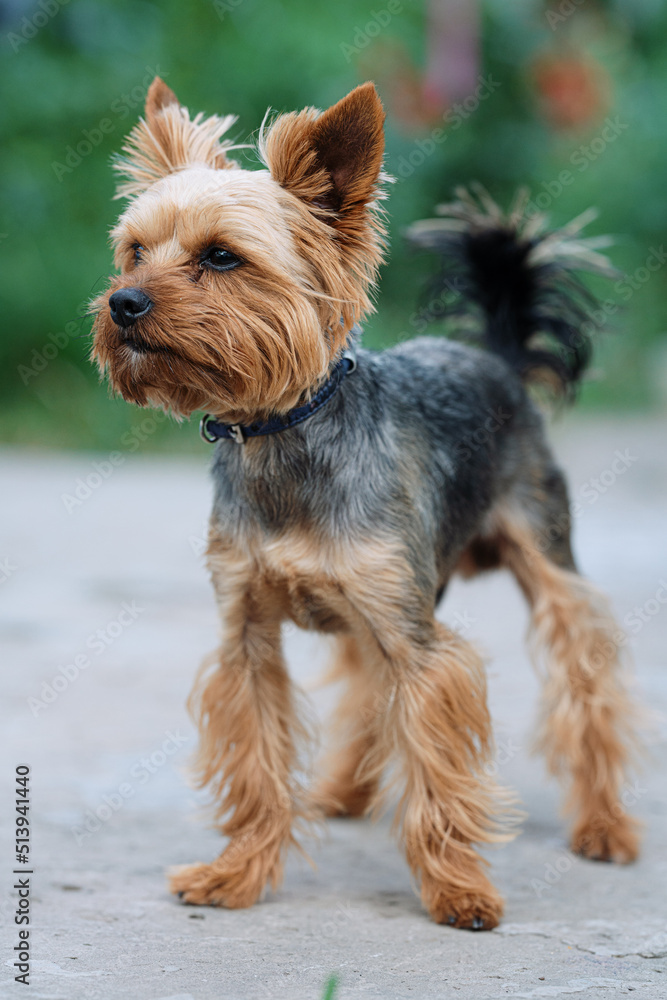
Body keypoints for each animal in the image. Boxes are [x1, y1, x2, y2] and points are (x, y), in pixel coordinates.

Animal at [92, 78, 640, 928]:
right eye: (135, 252)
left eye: (220, 257)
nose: (122, 302)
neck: (280, 430)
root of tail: (494, 357)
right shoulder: (249, 636)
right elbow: (257, 764)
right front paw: (236, 873)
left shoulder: (414, 643)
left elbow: (435, 765)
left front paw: (456, 889)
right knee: (363, 692)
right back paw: (344, 791)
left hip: (544, 563)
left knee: (585, 685)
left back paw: (604, 825)